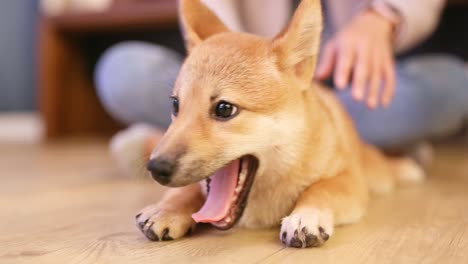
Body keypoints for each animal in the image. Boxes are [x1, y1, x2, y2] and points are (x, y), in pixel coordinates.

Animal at [133, 0, 424, 249]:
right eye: (175, 105)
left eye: (224, 109)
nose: (156, 168)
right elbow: (186, 191)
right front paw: (167, 209)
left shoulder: (349, 180)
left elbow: (322, 189)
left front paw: (306, 215)